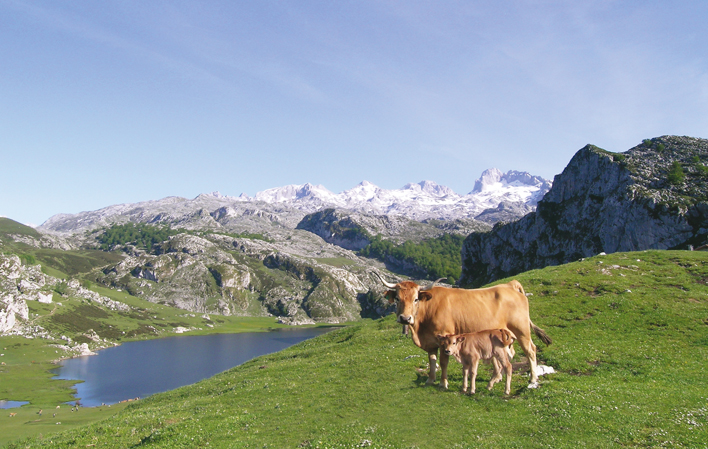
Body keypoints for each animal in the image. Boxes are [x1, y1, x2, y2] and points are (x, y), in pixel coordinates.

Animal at [378, 274, 552, 386]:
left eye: (415, 299)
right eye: (398, 299)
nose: (405, 319)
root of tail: (509, 285)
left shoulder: (446, 337)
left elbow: (443, 361)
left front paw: (443, 383)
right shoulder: (431, 342)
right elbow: (432, 360)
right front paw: (430, 380)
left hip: (521, 329)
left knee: (531, 350)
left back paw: (532, 379)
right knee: (509, 353)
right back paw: (497, 378)